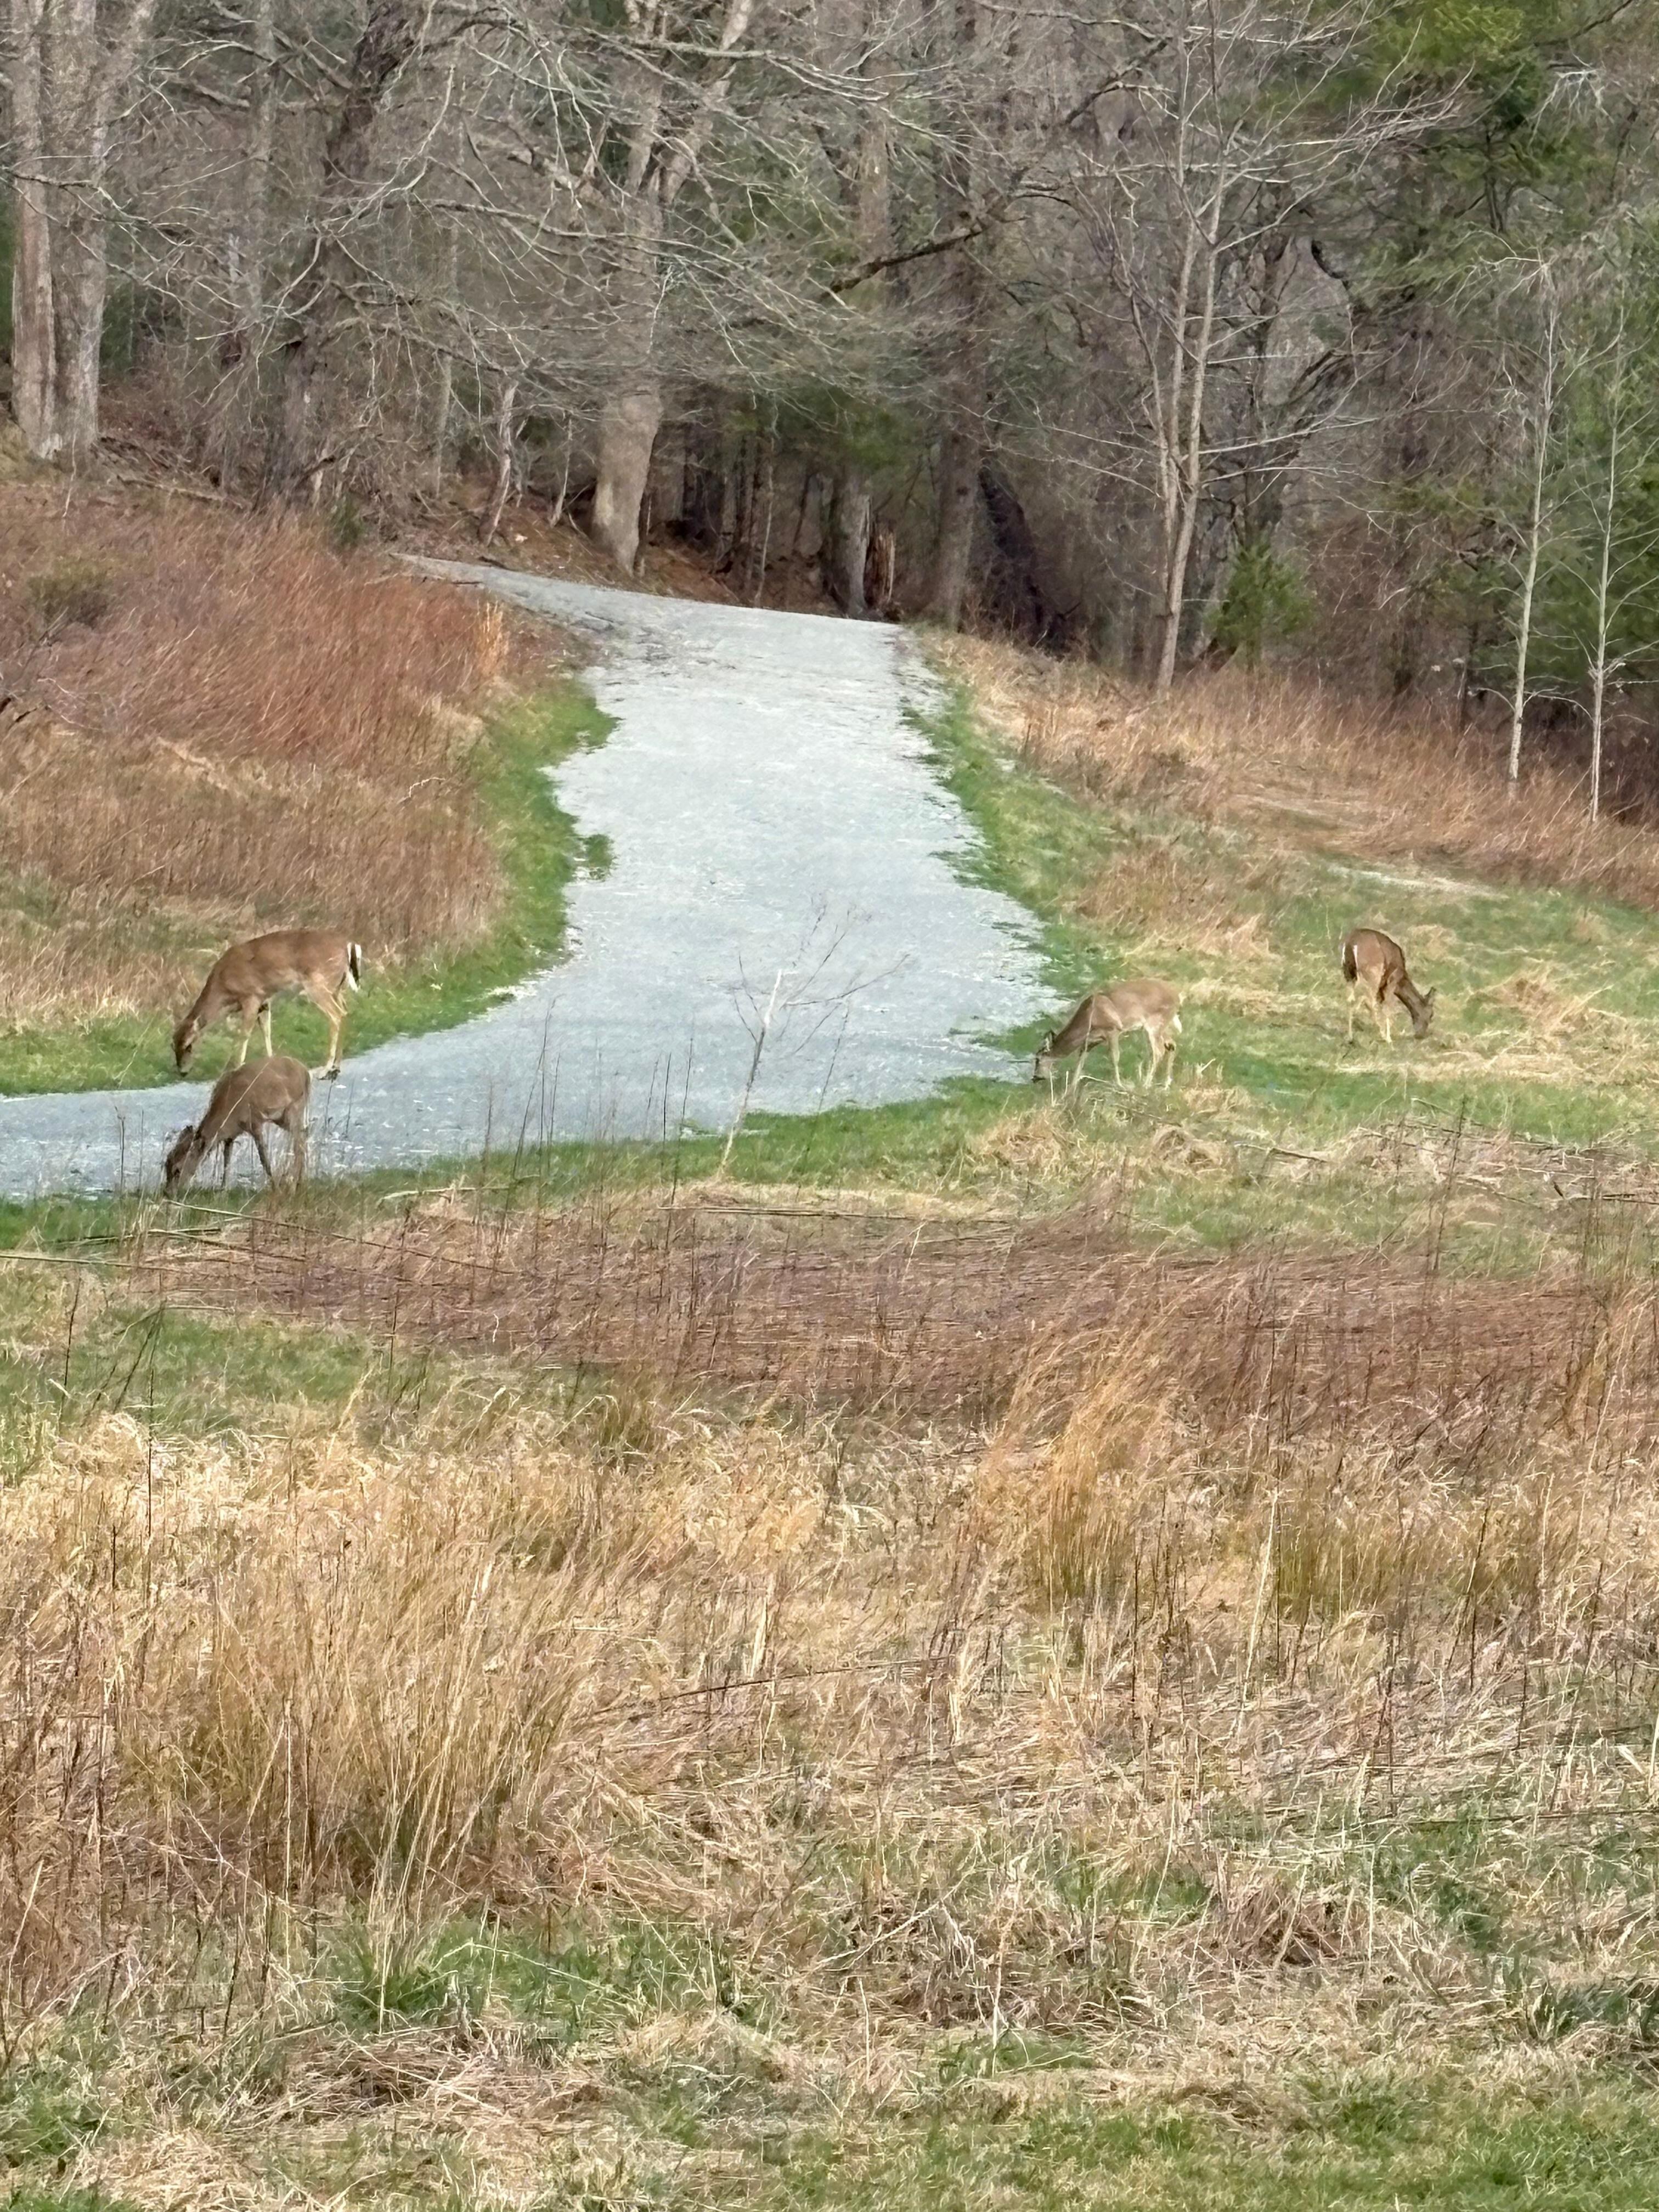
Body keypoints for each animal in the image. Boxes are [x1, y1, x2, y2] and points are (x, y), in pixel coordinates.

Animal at [162, 1055, 310, 1194]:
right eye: (167, 1165)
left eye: (177, 1170)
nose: (167, 1193)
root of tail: (306, 1072)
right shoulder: (230, 1134)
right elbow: (226, 1159)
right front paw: (223, 1190)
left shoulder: (254, 1121)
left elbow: (264, 1158)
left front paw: (276, 1189)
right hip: (282, 1118)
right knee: (303, 1136)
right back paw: (300, 1182)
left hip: (295, 1107)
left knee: (298, 1143)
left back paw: (293, 1187)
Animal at [173, 929, 363, 1079]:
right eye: (173, 1046)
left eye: (189, 1046)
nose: (182, 1072)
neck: (224, 989)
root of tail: (348, 945)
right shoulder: (264, 1002)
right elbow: (266, 1031)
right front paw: (270, 1063)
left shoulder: (251, 996)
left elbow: (244, 1034)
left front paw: (237, 1068)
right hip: (336, 987)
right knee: (345, 1011)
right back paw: (336, 1067)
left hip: (318, 985)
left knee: (337, 1015)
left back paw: (326, 1070)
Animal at [1033, 981, 1183, 1090]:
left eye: (1037, 1059)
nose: (1035, 1077)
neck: (1089, 1019)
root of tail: (1178, 996)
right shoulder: (1090, 1042)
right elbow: (1080, 1063)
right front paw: (1070, 1090)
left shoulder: (1113, 1030)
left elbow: (1114, 1058)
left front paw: (1120, 1085)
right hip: (1161, 1026)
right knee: (1172, 1044)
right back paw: (1166, 1084)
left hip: (1154, 1025)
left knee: (1159, 1051)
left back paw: (1146, 1085)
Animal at [1341, 927, 1436, 1044]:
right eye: (1431, 1015)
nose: (1420, 1035)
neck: (1402, 978)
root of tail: (1351, 943)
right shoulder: (1392, 980)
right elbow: (1388, 1007)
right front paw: (1389, 1038)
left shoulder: (1382, 988)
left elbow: (1382, 1006)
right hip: (1373, 972)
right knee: (1368, 1001)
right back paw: (1381, 1034)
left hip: (1348, 973)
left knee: (1350, 1000)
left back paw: (1350, 1037)